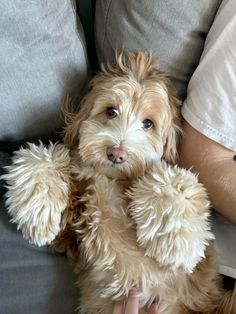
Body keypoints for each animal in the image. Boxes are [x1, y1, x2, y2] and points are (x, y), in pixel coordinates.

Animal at [2, 50, 235, 312]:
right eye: (111, 111)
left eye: (148, 123)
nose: (116, 153)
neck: (111, 181)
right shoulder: (71, 232)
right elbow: (41, 158)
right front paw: (38, 215)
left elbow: (172, 180)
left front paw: (177, 245)